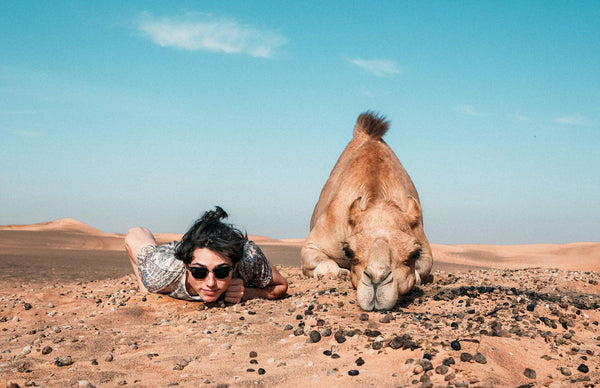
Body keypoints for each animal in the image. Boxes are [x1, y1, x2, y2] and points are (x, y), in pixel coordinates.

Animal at [302, 111, 434, 310]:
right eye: (349, 251)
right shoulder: (315, 242)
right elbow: (325, 266)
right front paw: (339, 273)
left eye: (414, 253)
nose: (377, 280)